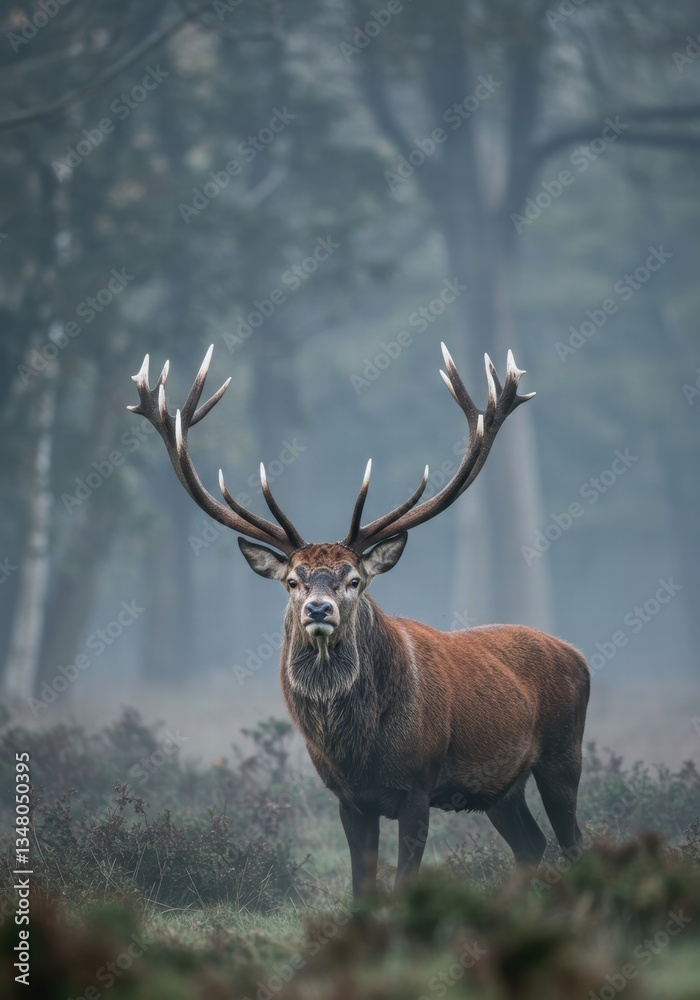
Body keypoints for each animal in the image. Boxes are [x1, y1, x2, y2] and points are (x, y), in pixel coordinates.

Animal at [128, 342, 590, 897]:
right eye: (293, 580)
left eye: (353, 580)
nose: (318, 609)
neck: (358, 749)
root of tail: (579, 656)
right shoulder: (347, 798)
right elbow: (360, 885)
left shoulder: (418, 785)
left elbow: (404, 880)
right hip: (501, 786)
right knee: (531, 843)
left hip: (564, 754)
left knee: (573, 841)